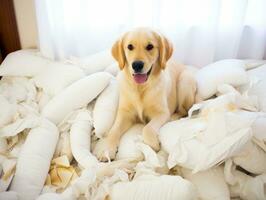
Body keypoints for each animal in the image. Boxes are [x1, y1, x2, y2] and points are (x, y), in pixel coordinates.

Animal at [94, 27, 197, 161]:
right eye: (130, 46)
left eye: (150, 46)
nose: (137, 65)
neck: (140, 88)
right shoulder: (124, 113)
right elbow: (113, 131)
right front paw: (107, 150)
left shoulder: (162, 113)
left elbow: (147, 128)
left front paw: (153, 144)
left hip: (184, 82)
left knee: (184, 110)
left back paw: (173, 117)